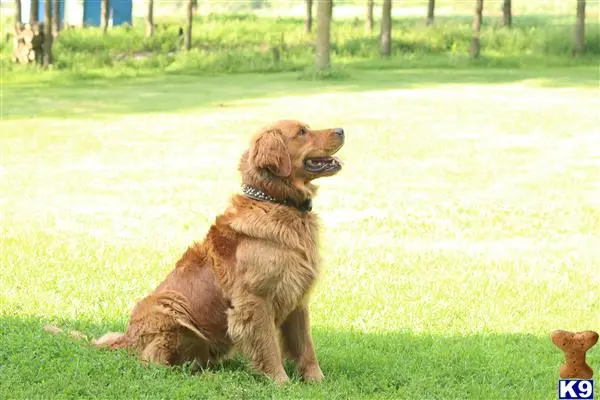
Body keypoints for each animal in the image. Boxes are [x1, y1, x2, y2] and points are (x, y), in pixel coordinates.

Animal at [61, 120, 344, 382]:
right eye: (302, 132)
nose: (341, 130)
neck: (277, 203)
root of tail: (126, 338)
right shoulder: (254, 300)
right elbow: (268, 347)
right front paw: (281, 383)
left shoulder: (298, 298)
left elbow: (306, 347)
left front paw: (317, 382)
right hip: (170, 308)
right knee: (153, 362)